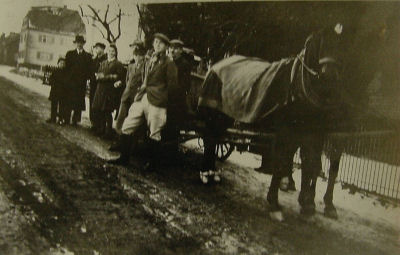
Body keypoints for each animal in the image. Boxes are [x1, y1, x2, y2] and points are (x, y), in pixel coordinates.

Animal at [197, 24, 346, 222]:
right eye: (321, 43)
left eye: (340, 47)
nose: (330, 76)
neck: (296, 85)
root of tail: (217, 64)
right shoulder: (286, 132)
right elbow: (283, 162)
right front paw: (274, 203)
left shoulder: (309, 134)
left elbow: (310, 164)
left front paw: (307, 205)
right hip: (214, 112)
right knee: (209, 139)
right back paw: (206, 173)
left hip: (224, 115)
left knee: (214, 139)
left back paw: (212, 172)